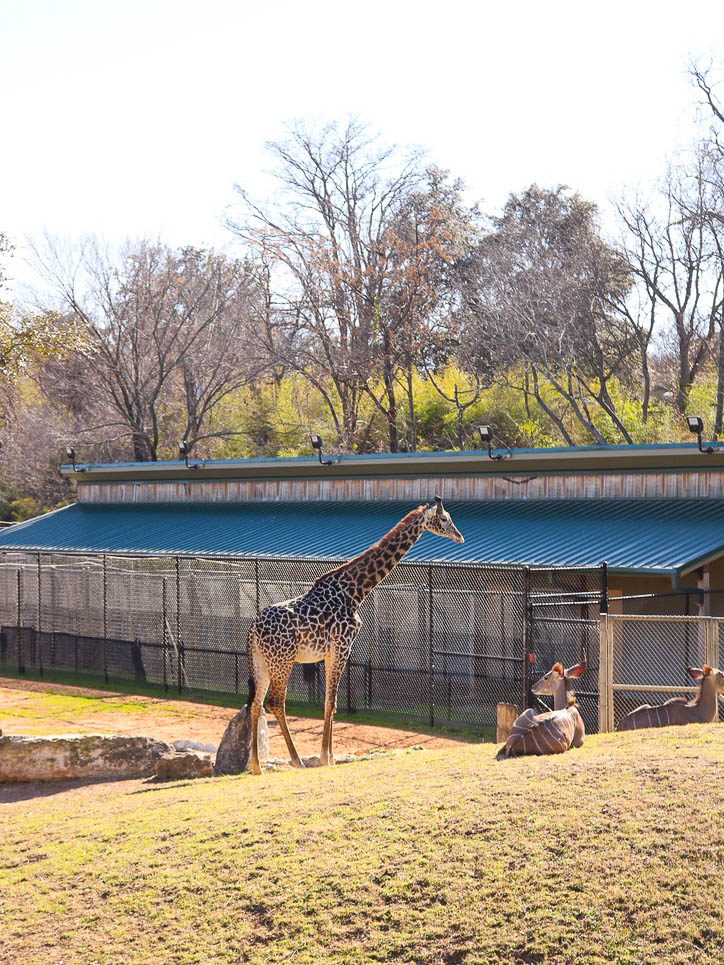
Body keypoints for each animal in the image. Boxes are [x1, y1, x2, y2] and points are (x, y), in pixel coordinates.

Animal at [245, 498, 464, 776]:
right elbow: (331, 702)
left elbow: (330, 702)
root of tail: (252, 629)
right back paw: (297, 761)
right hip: (282, 660)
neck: (355, 592)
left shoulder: (330, 652)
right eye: (444, 518)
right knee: (275, 702)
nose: (460, 536)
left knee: (256, 704)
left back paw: (256, 766)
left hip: (261, 662)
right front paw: (326, 758)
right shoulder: (342, 646)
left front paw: (328, 756)